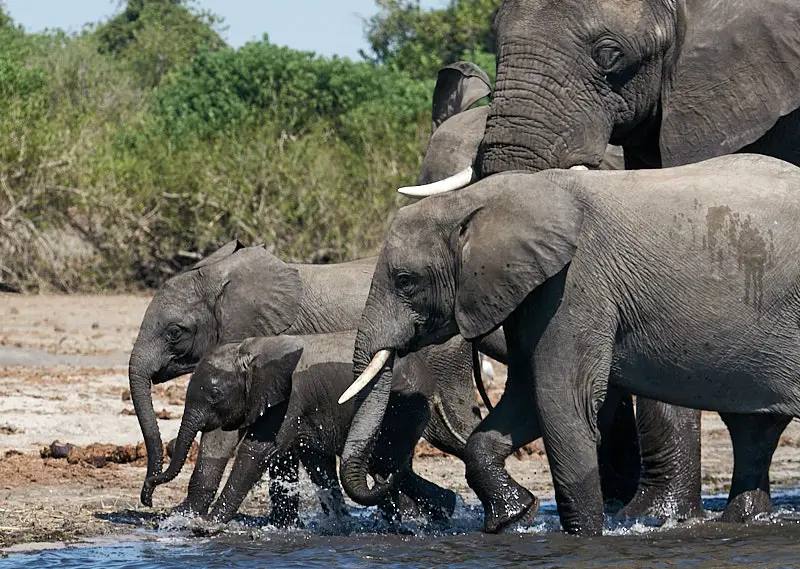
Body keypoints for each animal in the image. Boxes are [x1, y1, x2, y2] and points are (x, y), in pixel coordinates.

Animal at [144, 332, 462, 524]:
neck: (252, 350)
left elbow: (257, 450)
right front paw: (182, 518)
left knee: (386, 464)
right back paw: (436, 512)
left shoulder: (291, 397)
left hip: (402, 412)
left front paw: (208, 523)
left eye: (213, 394)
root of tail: (433, 388)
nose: (147, 499)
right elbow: (219, 440)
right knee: (389, 469)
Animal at [342, 153, 800, 536]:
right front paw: (513, 517)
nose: (386, 476)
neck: (476, 203)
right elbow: (524, 399)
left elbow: (561, 402)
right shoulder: (532, 292)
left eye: (405, 282)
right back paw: (745, 523)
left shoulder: (575, 285)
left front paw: (583, 537)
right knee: (753, 430)